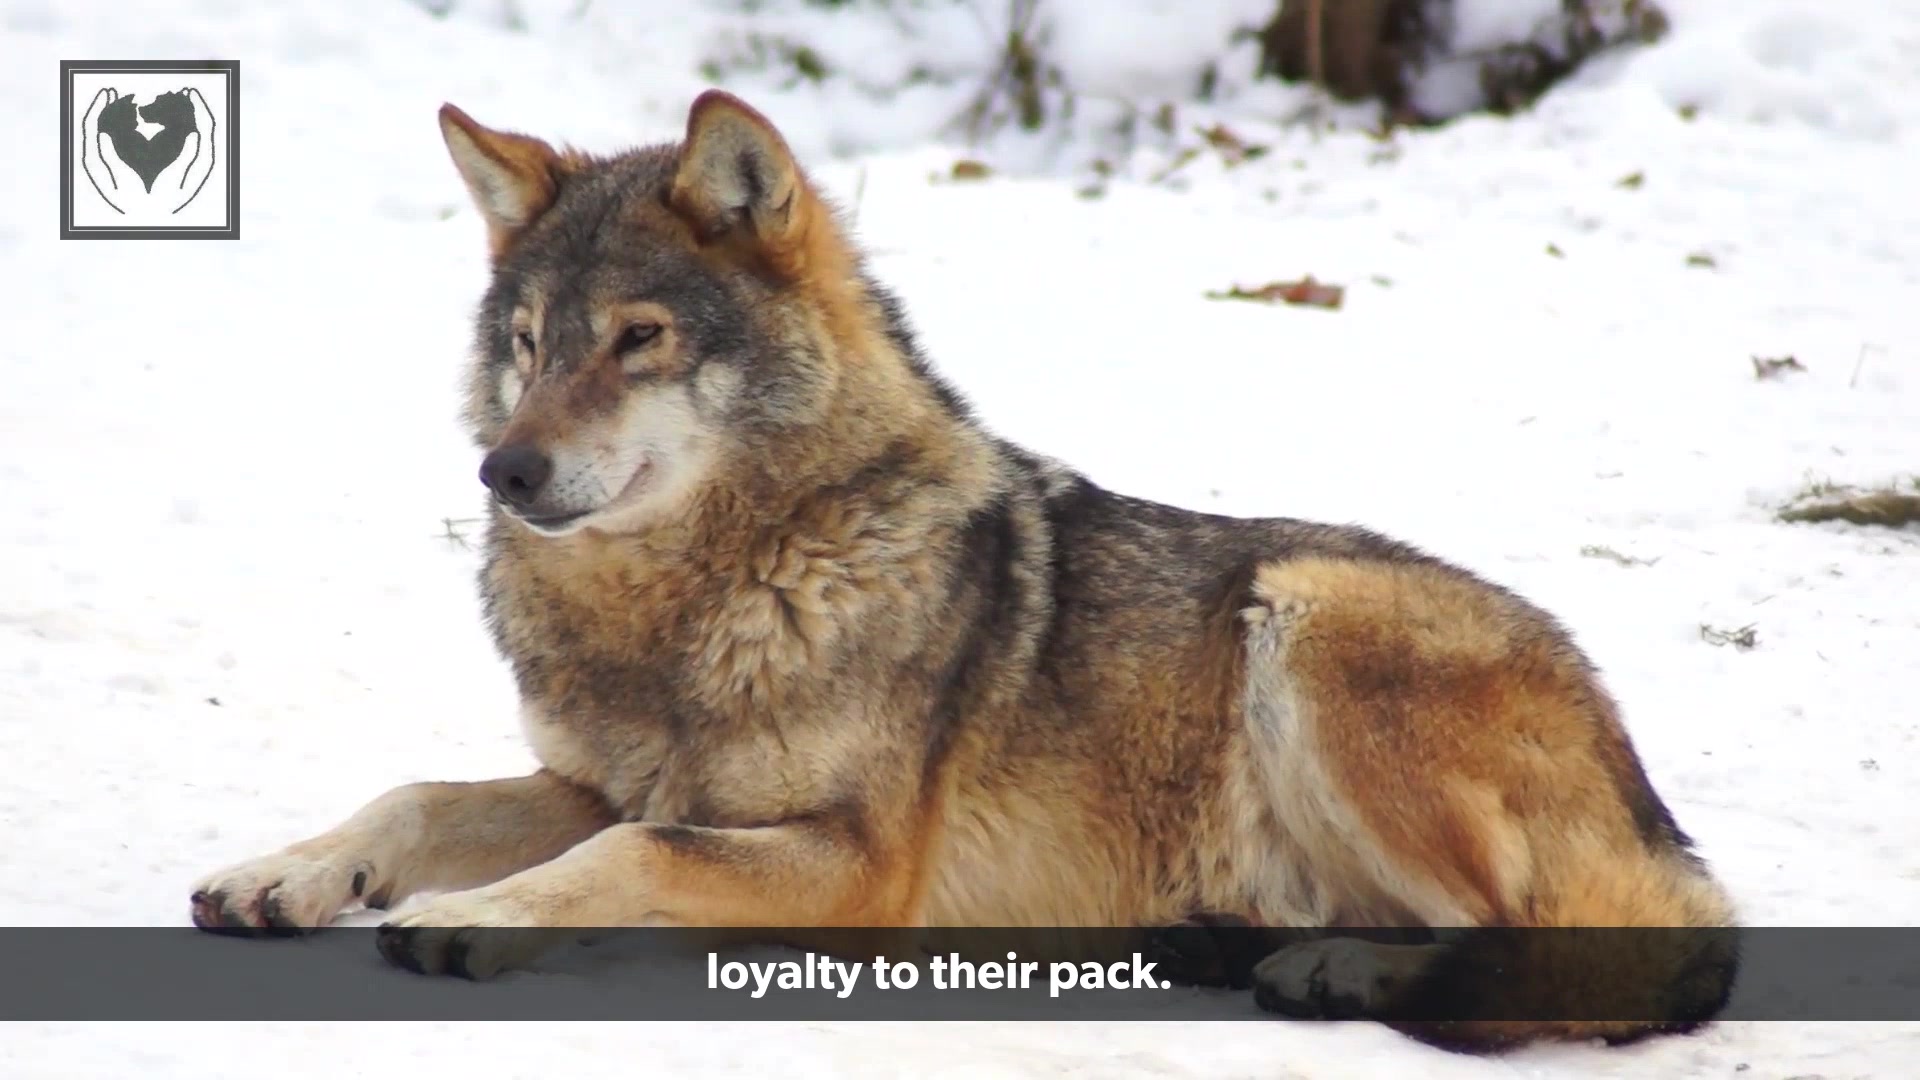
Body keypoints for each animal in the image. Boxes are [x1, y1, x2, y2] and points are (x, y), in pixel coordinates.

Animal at [189, 89, 1738, 1052]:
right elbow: (425, 797)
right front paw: (288, 874)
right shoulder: (595, 777)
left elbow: (623, 855)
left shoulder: (854, 861)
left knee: (1555, 944)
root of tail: (1647, 789)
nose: (503, 474)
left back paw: (1332, 967)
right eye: (528, 345)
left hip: (1306, 612)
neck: (711, 594)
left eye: (638, 341)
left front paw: (466, 922)